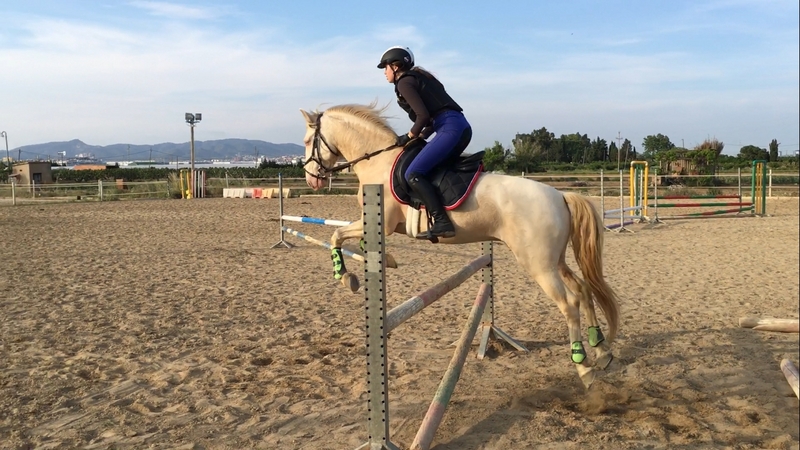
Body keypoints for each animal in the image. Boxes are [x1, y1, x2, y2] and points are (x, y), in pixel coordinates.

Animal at [299, 102, 620, 388]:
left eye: (307, 141)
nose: (312, 180)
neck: (378, 161)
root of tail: (560, 195)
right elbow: (348, 239)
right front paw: (379, 262)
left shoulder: (382, 223)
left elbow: (336, 235)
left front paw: (345, 277)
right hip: (556, 260)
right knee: (583, 290)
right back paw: (601, 350)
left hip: (538, 265)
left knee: (569, 303)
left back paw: (583, 367)